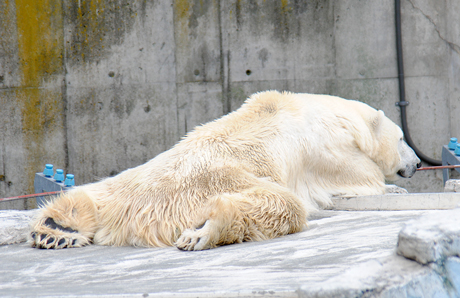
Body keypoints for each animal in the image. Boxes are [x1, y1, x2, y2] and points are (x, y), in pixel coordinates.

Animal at [29, 92, 420, 250]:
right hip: (212, 182)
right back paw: (205, 231)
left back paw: (55, 228)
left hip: (125, 182)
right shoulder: (333, 154)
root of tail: (133, 217)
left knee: (90, 194)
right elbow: (360, 181)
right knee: (281, 204)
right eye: (403, 138)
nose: (416, 163)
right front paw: (394, 189)